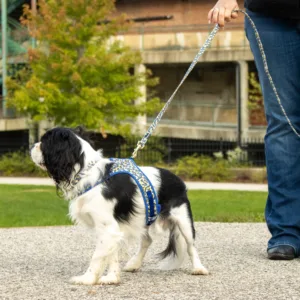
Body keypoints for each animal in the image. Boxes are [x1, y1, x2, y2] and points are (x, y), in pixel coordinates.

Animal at [31, 127, 209, 286]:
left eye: (44, 142)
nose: (32, 145)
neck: (86, 172)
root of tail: (179, 179)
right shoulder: (111, 229)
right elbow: (111, 254)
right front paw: (112, 278)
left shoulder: (107, 227)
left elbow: (97, 256)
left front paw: (87, 279)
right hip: (142, 218)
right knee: (147, 240)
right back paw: (134, 264)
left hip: (183, 219)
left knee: (190, 245)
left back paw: (199, 268)